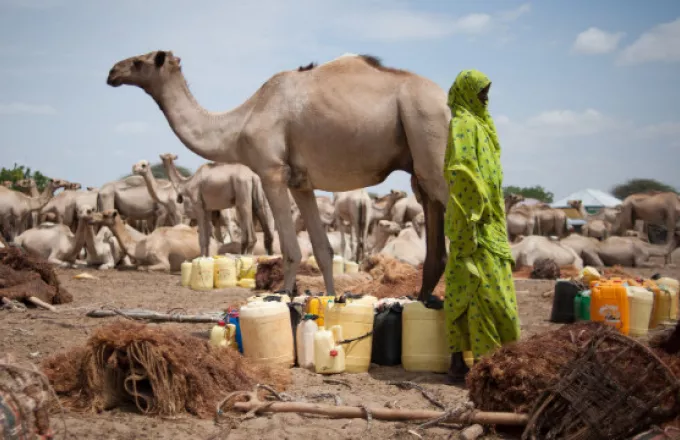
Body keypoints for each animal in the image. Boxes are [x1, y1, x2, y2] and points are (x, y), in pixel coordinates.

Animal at [107, 50, 452, 300]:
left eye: (140, 61)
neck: (239, 124)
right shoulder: (302, 182)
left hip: (429, 135)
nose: (112, 72)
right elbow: (323, 250)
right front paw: (329, 301)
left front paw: (286, 297)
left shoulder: (271, 172)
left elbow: (290, 248)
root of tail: (447, 102)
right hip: (420, 168)